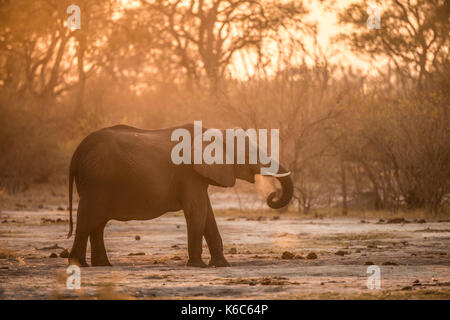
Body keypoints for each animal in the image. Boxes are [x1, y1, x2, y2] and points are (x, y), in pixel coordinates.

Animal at [66, 123, 292, 268]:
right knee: (89, 218)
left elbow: (207, 214)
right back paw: (80, 265)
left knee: (98, 222)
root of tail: (76, 154)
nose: (272, 195)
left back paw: (102, 265)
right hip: (98, 182)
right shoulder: (189, 174)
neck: (213, 132)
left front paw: (222, 265)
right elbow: (197, 211)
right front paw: (198, 266)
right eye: (247, 154)